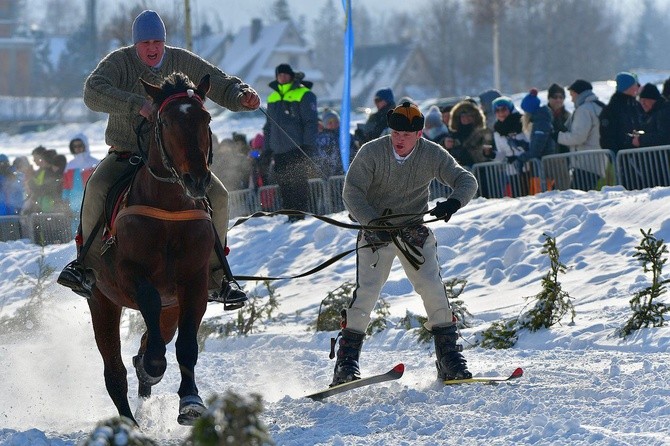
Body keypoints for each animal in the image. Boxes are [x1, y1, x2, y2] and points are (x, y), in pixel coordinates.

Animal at [84, 70, 215, 426]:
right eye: (165, 121)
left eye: (206, 118)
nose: (197, 180)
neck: (168, 209)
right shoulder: (131, 277)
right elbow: (150, 305)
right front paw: (153, 365)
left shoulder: (194, 283)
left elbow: (187, 346)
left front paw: (190, 401)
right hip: (101, 301)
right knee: (114, 371)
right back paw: (129, 424)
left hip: (172, 307)